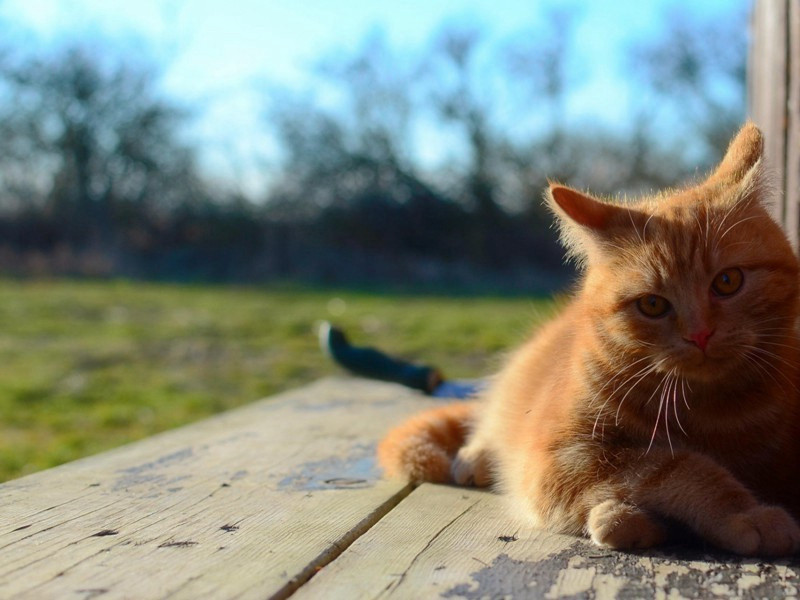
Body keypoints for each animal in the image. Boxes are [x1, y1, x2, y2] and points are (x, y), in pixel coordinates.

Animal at [378, 123, 800, 556]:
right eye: (652, 305)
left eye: (728, 281)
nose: (699, 334)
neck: (709, 411)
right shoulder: (560, 458)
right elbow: (674, 466)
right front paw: (743, 514)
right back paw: (477, 457)